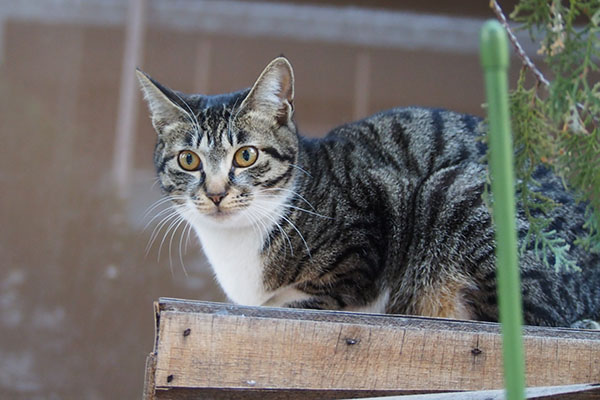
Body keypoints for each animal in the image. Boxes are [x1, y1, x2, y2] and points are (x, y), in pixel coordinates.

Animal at [136, 56, 600, 328]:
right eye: (189, 160)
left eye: (246, 155)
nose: (215, 193)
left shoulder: (364, 236)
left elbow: (298, 301)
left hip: (457, 190)